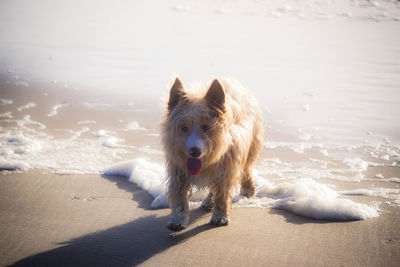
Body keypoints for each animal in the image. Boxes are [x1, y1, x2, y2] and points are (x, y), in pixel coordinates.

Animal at [161, 77, 264, 232]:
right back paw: (209, 200)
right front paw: (178, 220)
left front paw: (220, 216)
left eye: (206, 127)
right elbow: (179, 197)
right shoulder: (178, 172)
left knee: (246, 168)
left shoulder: (227, 169)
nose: (194, 152)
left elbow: (222, 194)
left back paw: (248, 188)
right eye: (184, 128)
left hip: (251, 146)